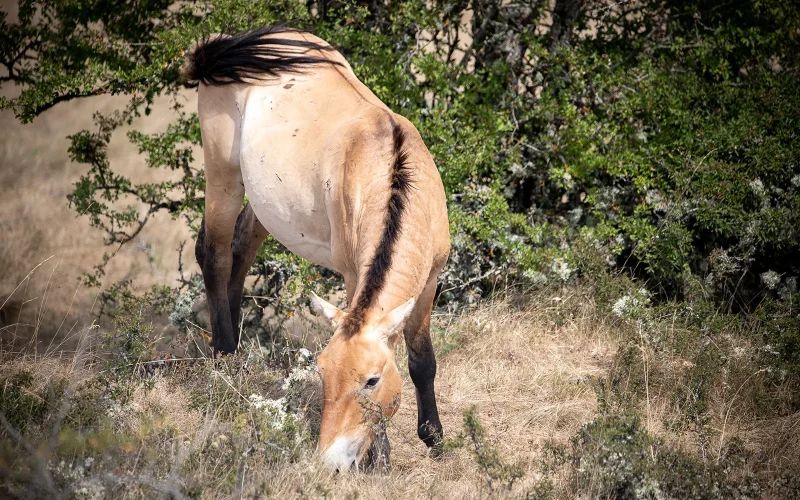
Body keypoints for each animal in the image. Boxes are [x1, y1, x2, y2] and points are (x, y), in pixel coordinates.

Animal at [184, 26, 450, 470]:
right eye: (323, 373)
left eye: (371, 380)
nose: (331, 462)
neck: (395, 176)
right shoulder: (353, 275)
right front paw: (381, 456)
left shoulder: (428, 283)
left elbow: (422, 361)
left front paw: (435, 439)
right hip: (223, 176)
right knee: (214, 254)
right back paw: (224, 355)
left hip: (262, 204)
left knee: (238, 254)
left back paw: (235, 353)